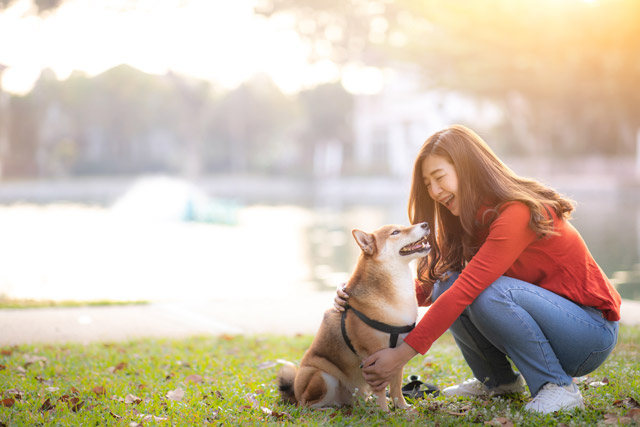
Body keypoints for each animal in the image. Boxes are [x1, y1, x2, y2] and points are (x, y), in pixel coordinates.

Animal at [276, 221, 430, 412]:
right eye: (395, 232)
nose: (425, 224)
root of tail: (295, 394)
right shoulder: (375, 356)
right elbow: (381, 389)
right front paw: (384, 412)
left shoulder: (395, 355)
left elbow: (396, 386)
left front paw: (402, 407)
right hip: (323, 376)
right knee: (307, 404)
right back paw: (327, 409)